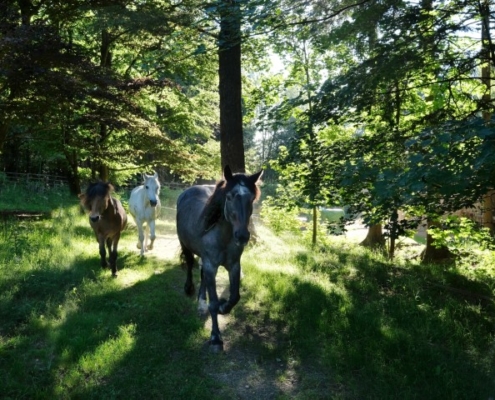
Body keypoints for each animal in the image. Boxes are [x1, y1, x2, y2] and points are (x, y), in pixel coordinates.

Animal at [177, 165, 264, 350]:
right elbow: (214, 302)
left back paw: (201, 303)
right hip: (186, 246)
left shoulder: (234, 265)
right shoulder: (211, 266)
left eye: (252, 198)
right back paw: (190, 289)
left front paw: (224, 307)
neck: (222, 237)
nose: (242, 236)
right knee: (190, 264)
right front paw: (215, 337)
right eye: (229, 197)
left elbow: (234, 297)